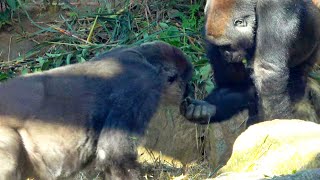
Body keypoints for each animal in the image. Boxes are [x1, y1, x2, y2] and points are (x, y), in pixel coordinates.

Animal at [181, 0, 320, 124]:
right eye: (221, 47)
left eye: (227, 46)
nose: (226, 55)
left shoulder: (276, 11)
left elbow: (267, 72)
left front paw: (273, 124)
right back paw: (204, 109)